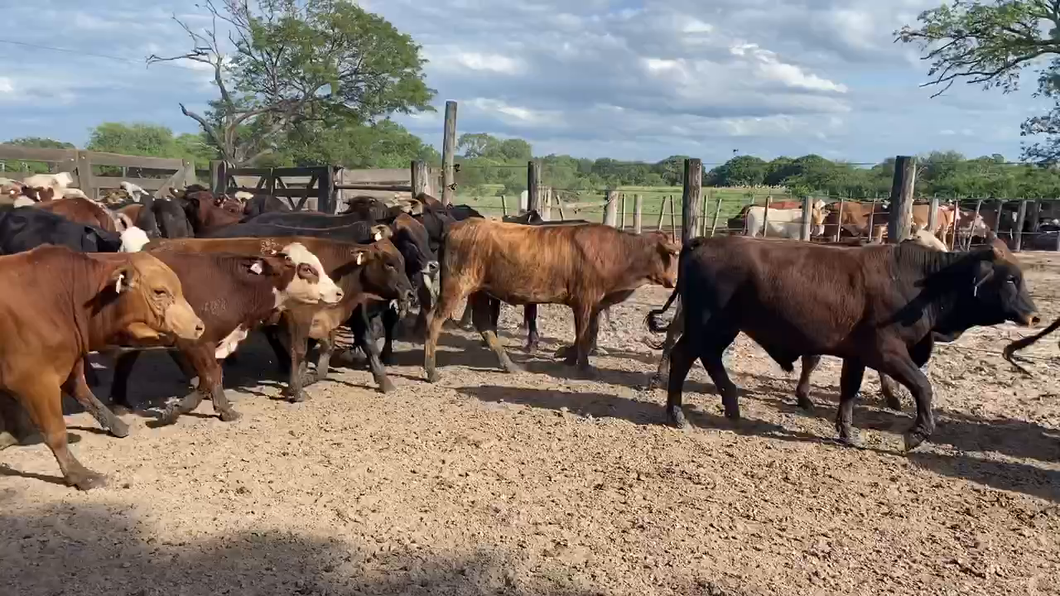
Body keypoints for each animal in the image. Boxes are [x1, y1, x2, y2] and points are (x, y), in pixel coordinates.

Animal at [0, 246, 203, 489]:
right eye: (159, 291)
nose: (199, 326)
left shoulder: (67, 367)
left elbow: (85, 395)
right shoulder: (36, 382)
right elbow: (55, 432)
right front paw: (79, 475)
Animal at [107, 246, 344, 423]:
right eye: (306, 268)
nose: (338, 292)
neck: (233, 286)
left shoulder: (216, 344)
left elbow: (209, 379)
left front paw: (180, 407)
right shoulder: (197, 343)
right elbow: (211, 375)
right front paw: (222, 410)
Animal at [145, 237, 414, 399]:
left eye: (402, 261)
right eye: (389, 263)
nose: (411, 293)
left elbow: (334, 349)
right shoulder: (299, 316)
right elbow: (299, 350)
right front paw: (297, 389)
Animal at [424, 220, 679, 381]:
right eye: (672, 254)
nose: (675, 280)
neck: (617, 252)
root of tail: (455, 227)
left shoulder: (594, 304)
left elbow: (589, 332)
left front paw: (567, 355)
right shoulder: (584, 300)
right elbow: (584, 333)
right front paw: (583, 365)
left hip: (479, 290)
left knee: (483, 323)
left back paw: (509, 365)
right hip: (457, 286)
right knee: (434, 320)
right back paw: (431, 371)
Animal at [650, 235, 1038, 451]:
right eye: (1010, 278)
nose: (1034, 315)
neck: (922, 283)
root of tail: (704, 241)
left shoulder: (857, 354)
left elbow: (849, 391)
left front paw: (848, 432)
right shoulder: (887, 351)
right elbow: (923, 386)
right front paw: (917, 434)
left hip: (722, 327)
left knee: (709, 357)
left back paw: (730, 405)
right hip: (707, 323)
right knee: (684, 356)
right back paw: (678, 414)